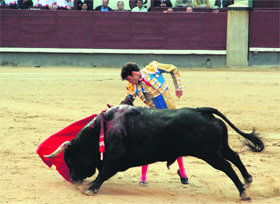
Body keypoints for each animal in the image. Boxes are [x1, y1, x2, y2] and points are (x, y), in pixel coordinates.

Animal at [44, 106, 264, 200]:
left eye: (71, 158)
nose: (74, 179)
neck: (103, 129)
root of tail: (202, 111)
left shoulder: (114, 159)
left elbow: (104, 172)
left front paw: (90, 189)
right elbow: (103, 172)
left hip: (209, 154)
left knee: (227, 166)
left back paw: (243, 192)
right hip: (220, 148)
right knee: (234, 156)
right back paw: (248, 181)